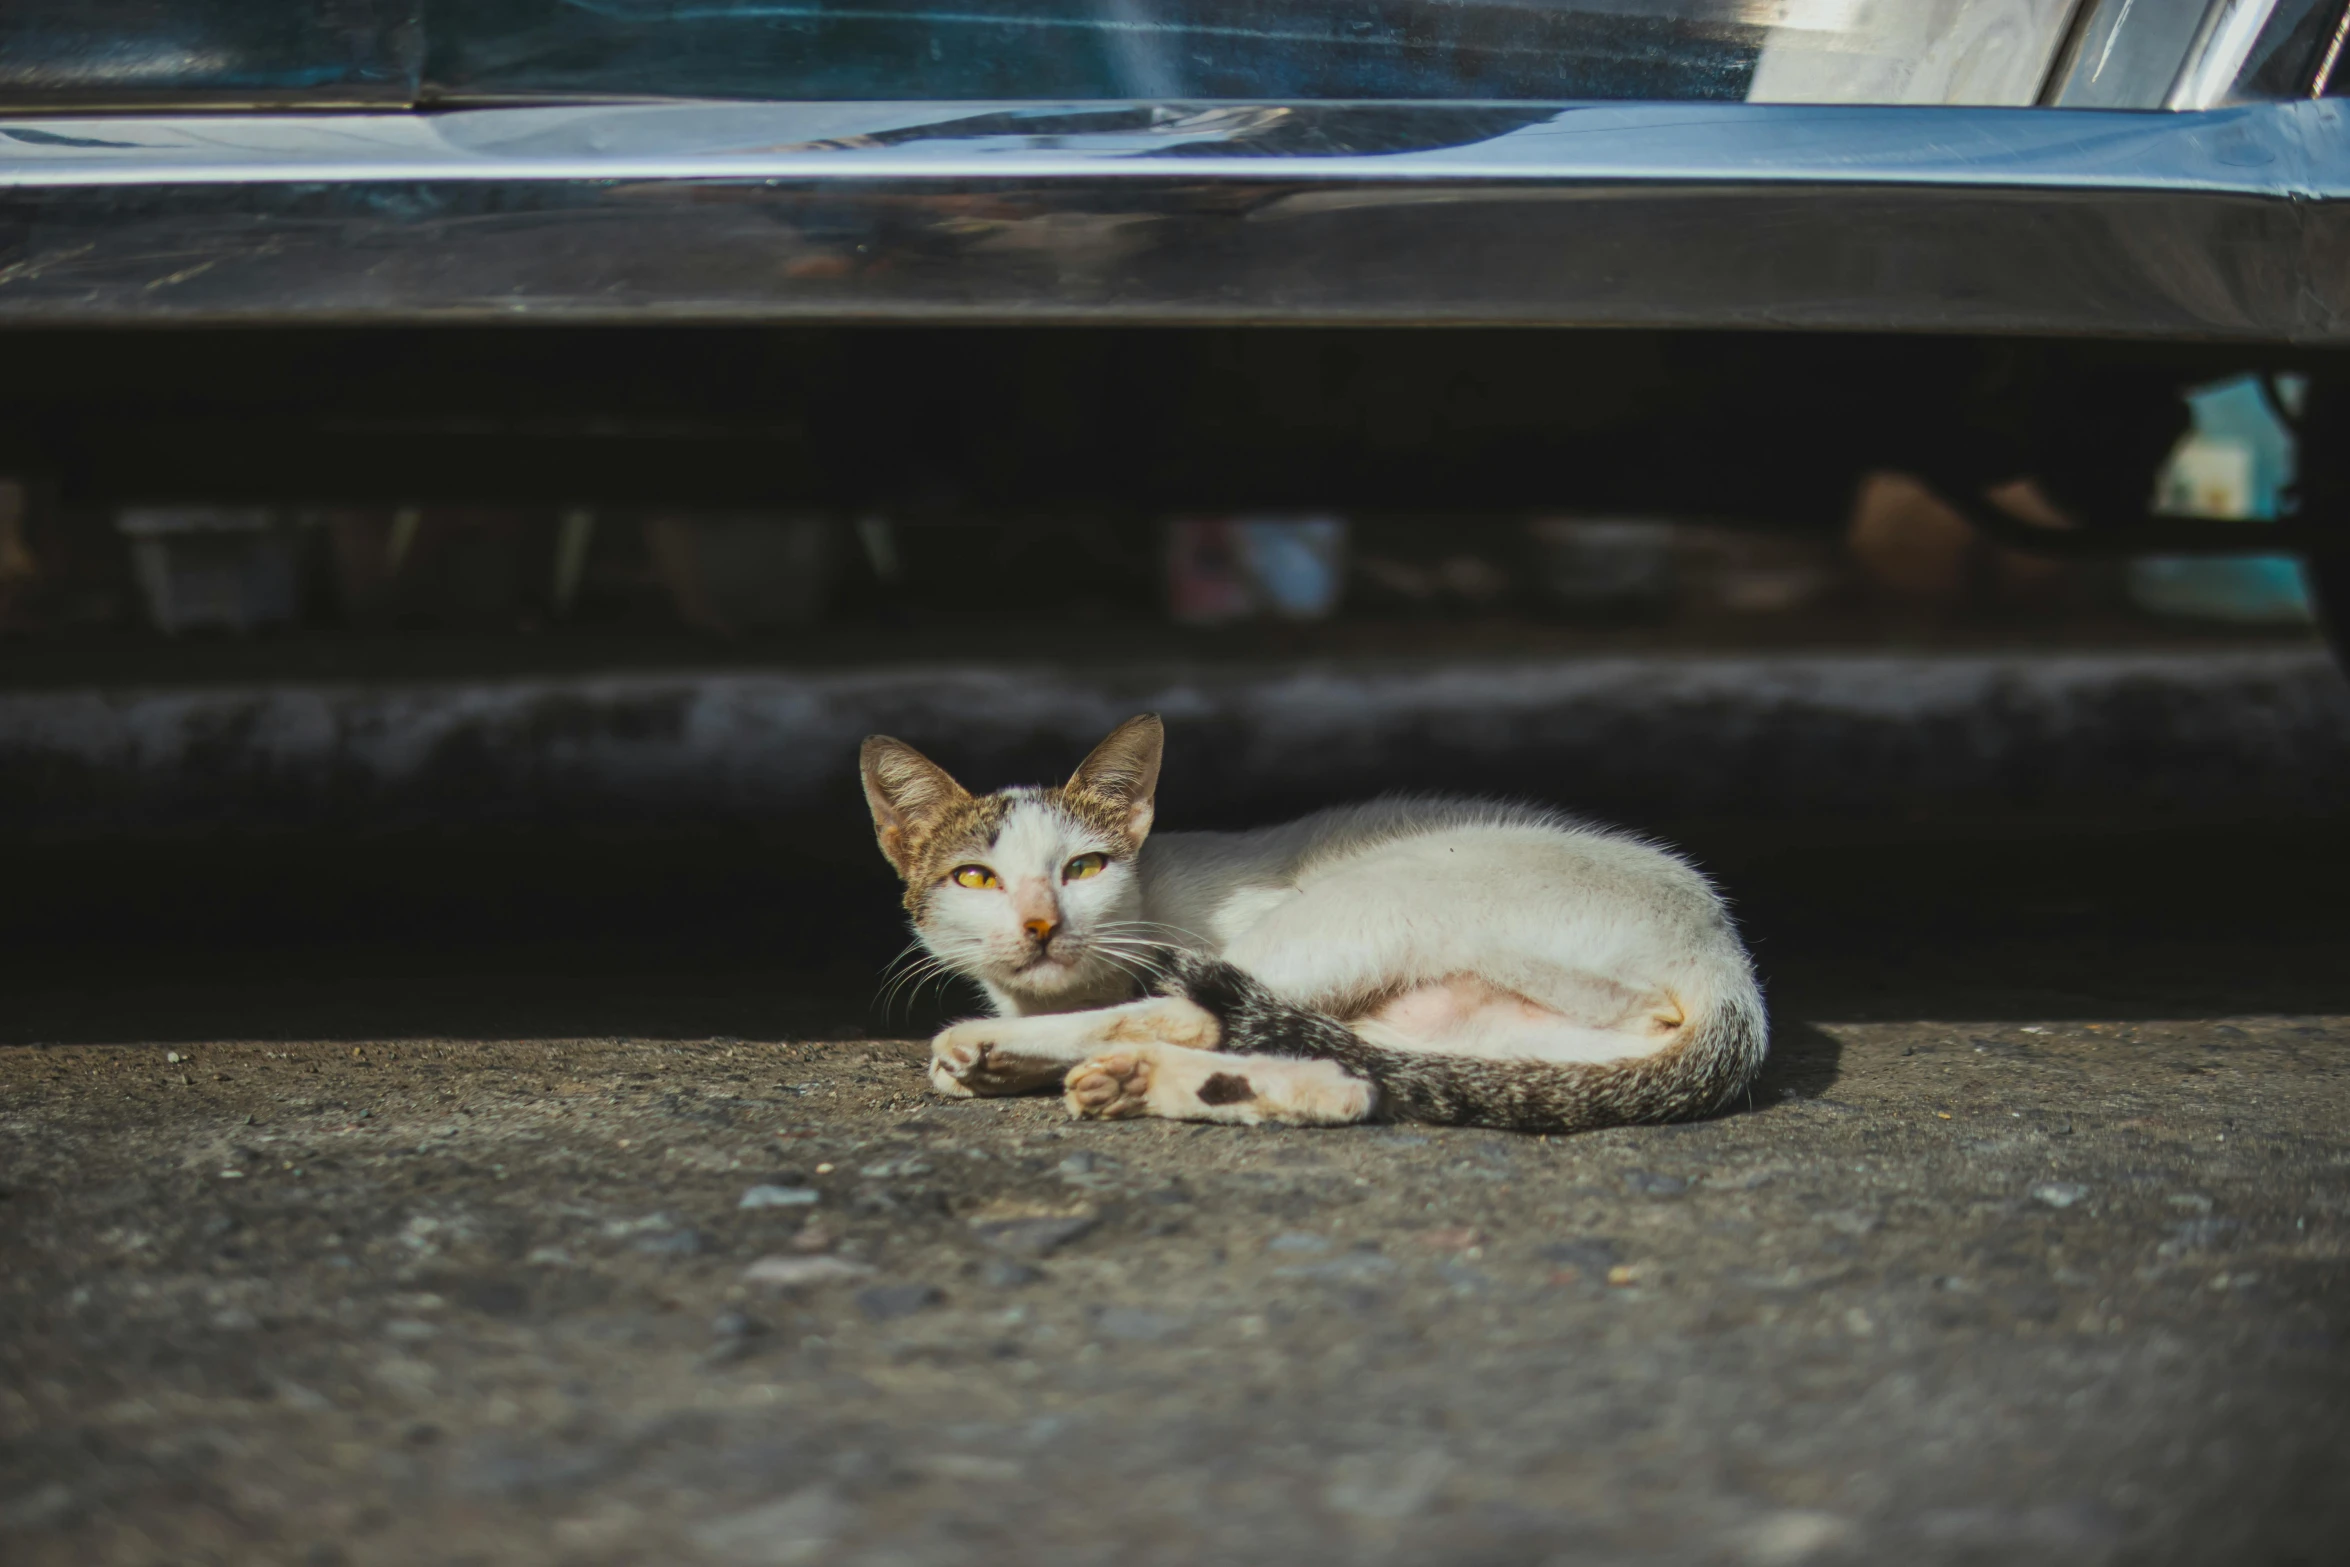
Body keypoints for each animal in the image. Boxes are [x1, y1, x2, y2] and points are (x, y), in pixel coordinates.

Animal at [864, 709, 1767, 1127]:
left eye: (1082, 868)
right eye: (974, 877)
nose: (1041, 923)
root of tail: (1730, 969)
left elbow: (1170, 1003)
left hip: (1364, 900)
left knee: (1198, 1013)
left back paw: (1012, 1050)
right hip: (1497, 1042)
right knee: (1358, 1079)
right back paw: (1140, 1079)